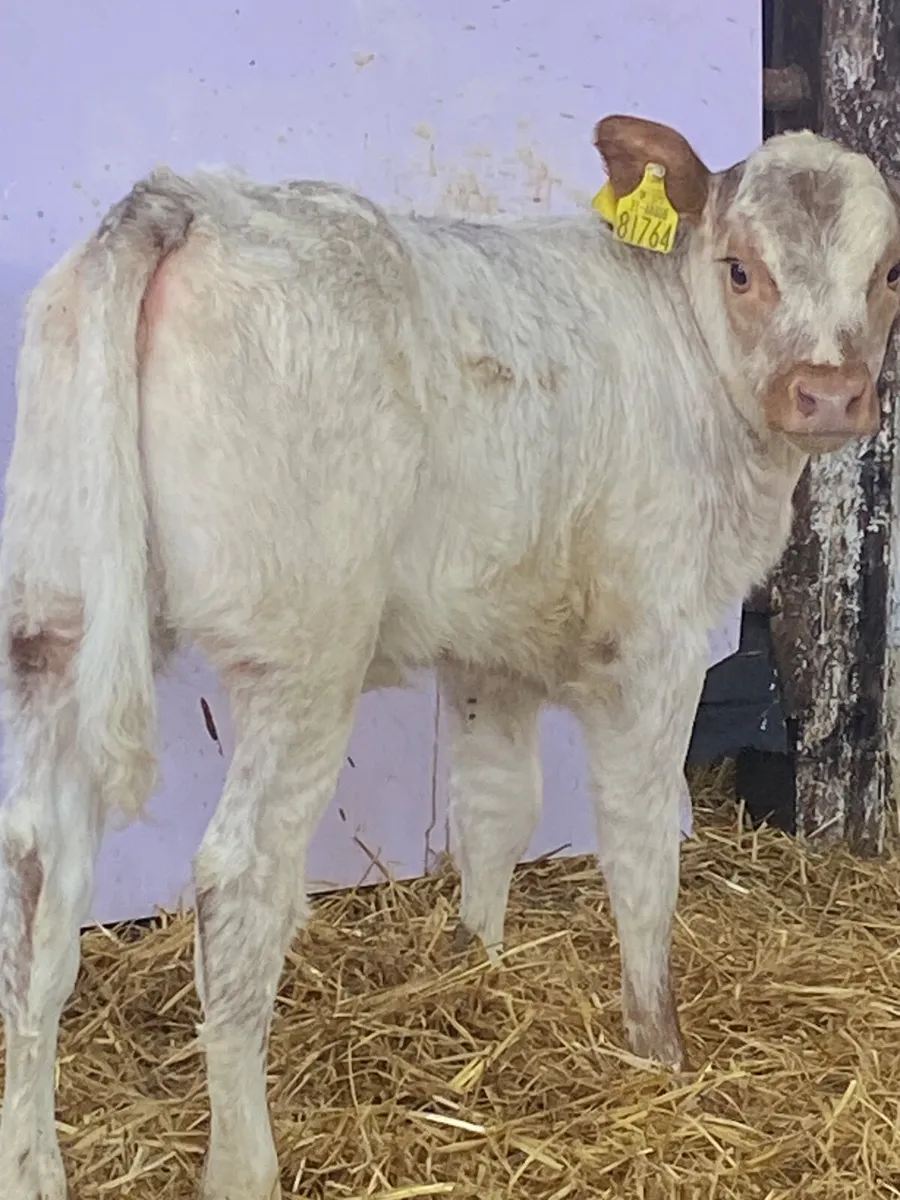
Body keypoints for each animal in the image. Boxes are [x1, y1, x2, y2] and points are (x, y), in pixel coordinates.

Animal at [0, 114, 898, 1200]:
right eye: (741, 269)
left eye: (889, 272)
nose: (831, 394)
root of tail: (192, 199)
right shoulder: (658, 634)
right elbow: (641, 841)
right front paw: (659, 1048)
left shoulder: (489, 640)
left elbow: (493, 811)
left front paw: (482, 967)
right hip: (301, 655)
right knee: (237, 881)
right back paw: (243, 1165)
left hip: (55, 621)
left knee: (37, 876)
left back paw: (30, 1166)